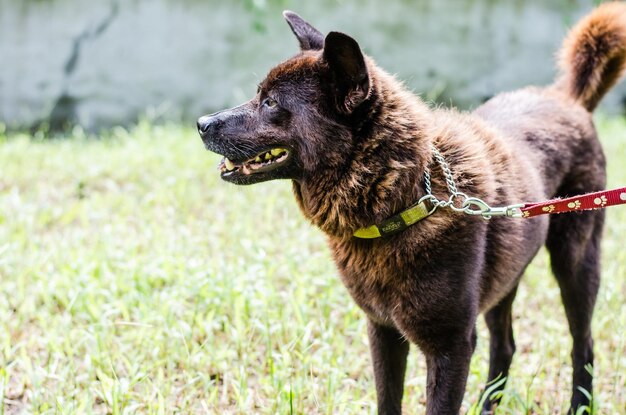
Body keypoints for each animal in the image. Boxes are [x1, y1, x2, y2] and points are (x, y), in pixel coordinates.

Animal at [196, 4, 624, 415]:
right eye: (259, 95)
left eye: (270, 103)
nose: (201, 123)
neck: (406, 197)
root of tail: (566, 98)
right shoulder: (382, 332)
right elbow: (388, 400)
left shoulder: (451, 347)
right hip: (507, 276)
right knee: (505, 345)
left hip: (575, 263)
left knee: (582, 344)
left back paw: (579, 405)